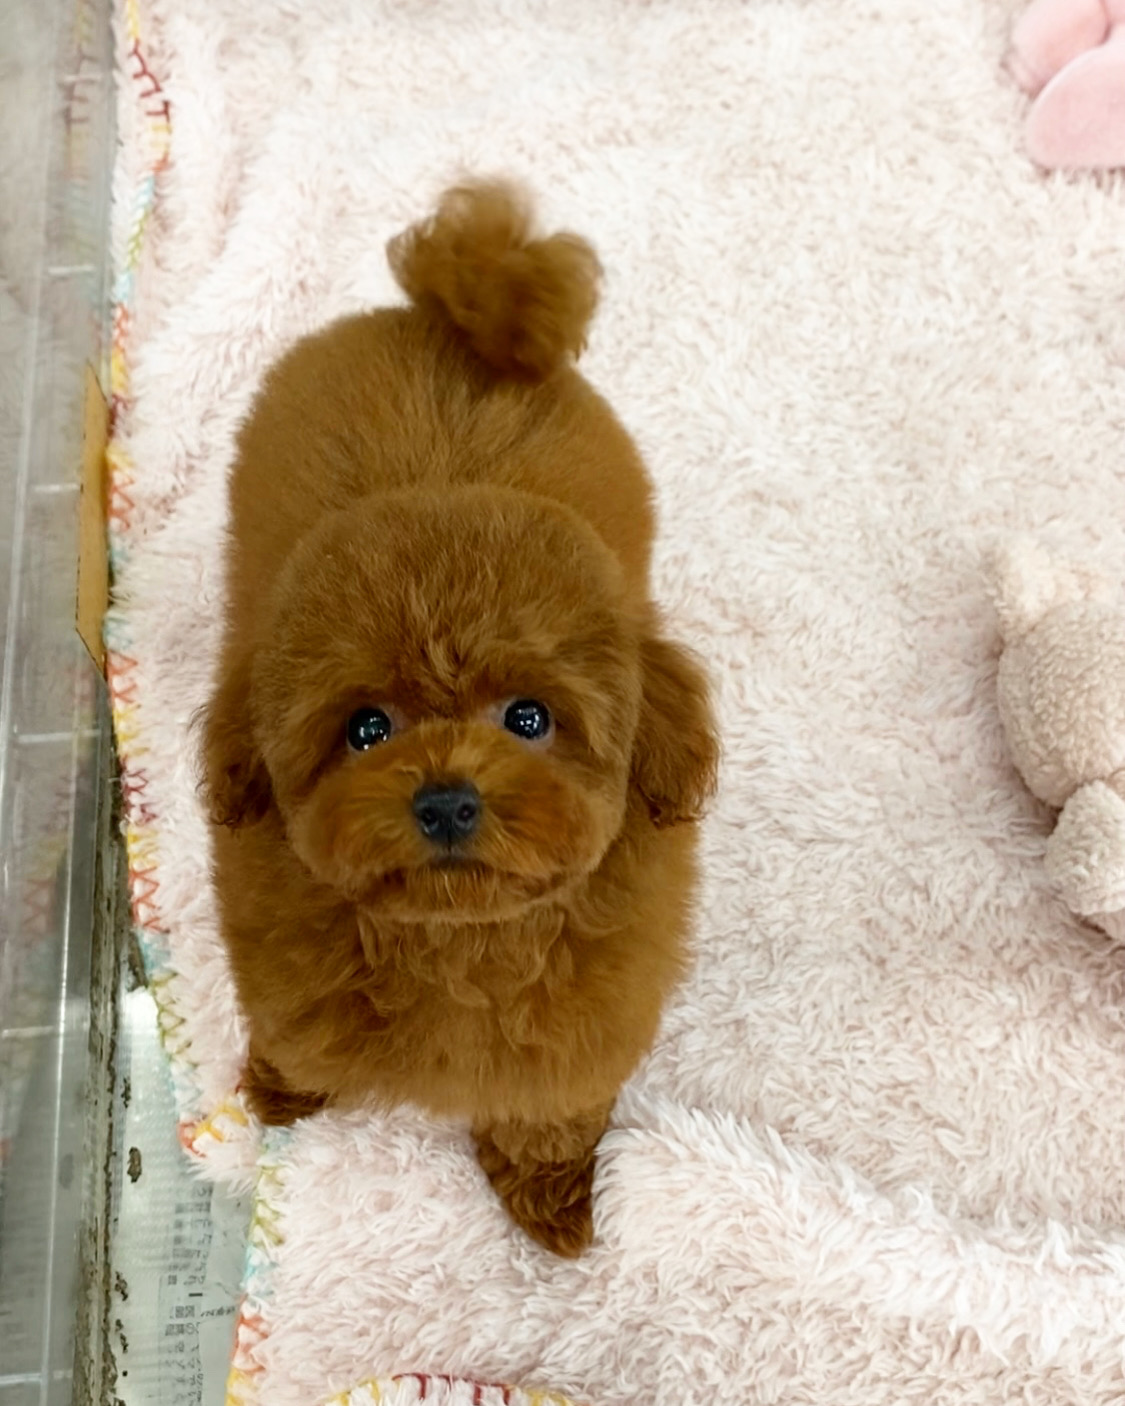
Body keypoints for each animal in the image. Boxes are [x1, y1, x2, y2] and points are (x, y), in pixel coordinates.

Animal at [201, 181, 718, 1256]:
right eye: (365, 728)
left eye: (528, 717)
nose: (445, 801)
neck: (454, 939)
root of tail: (449, 320)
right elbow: (296, 1038)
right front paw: (281, 1093)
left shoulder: (575, 1036)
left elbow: (548, 1116)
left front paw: (554, 1203)